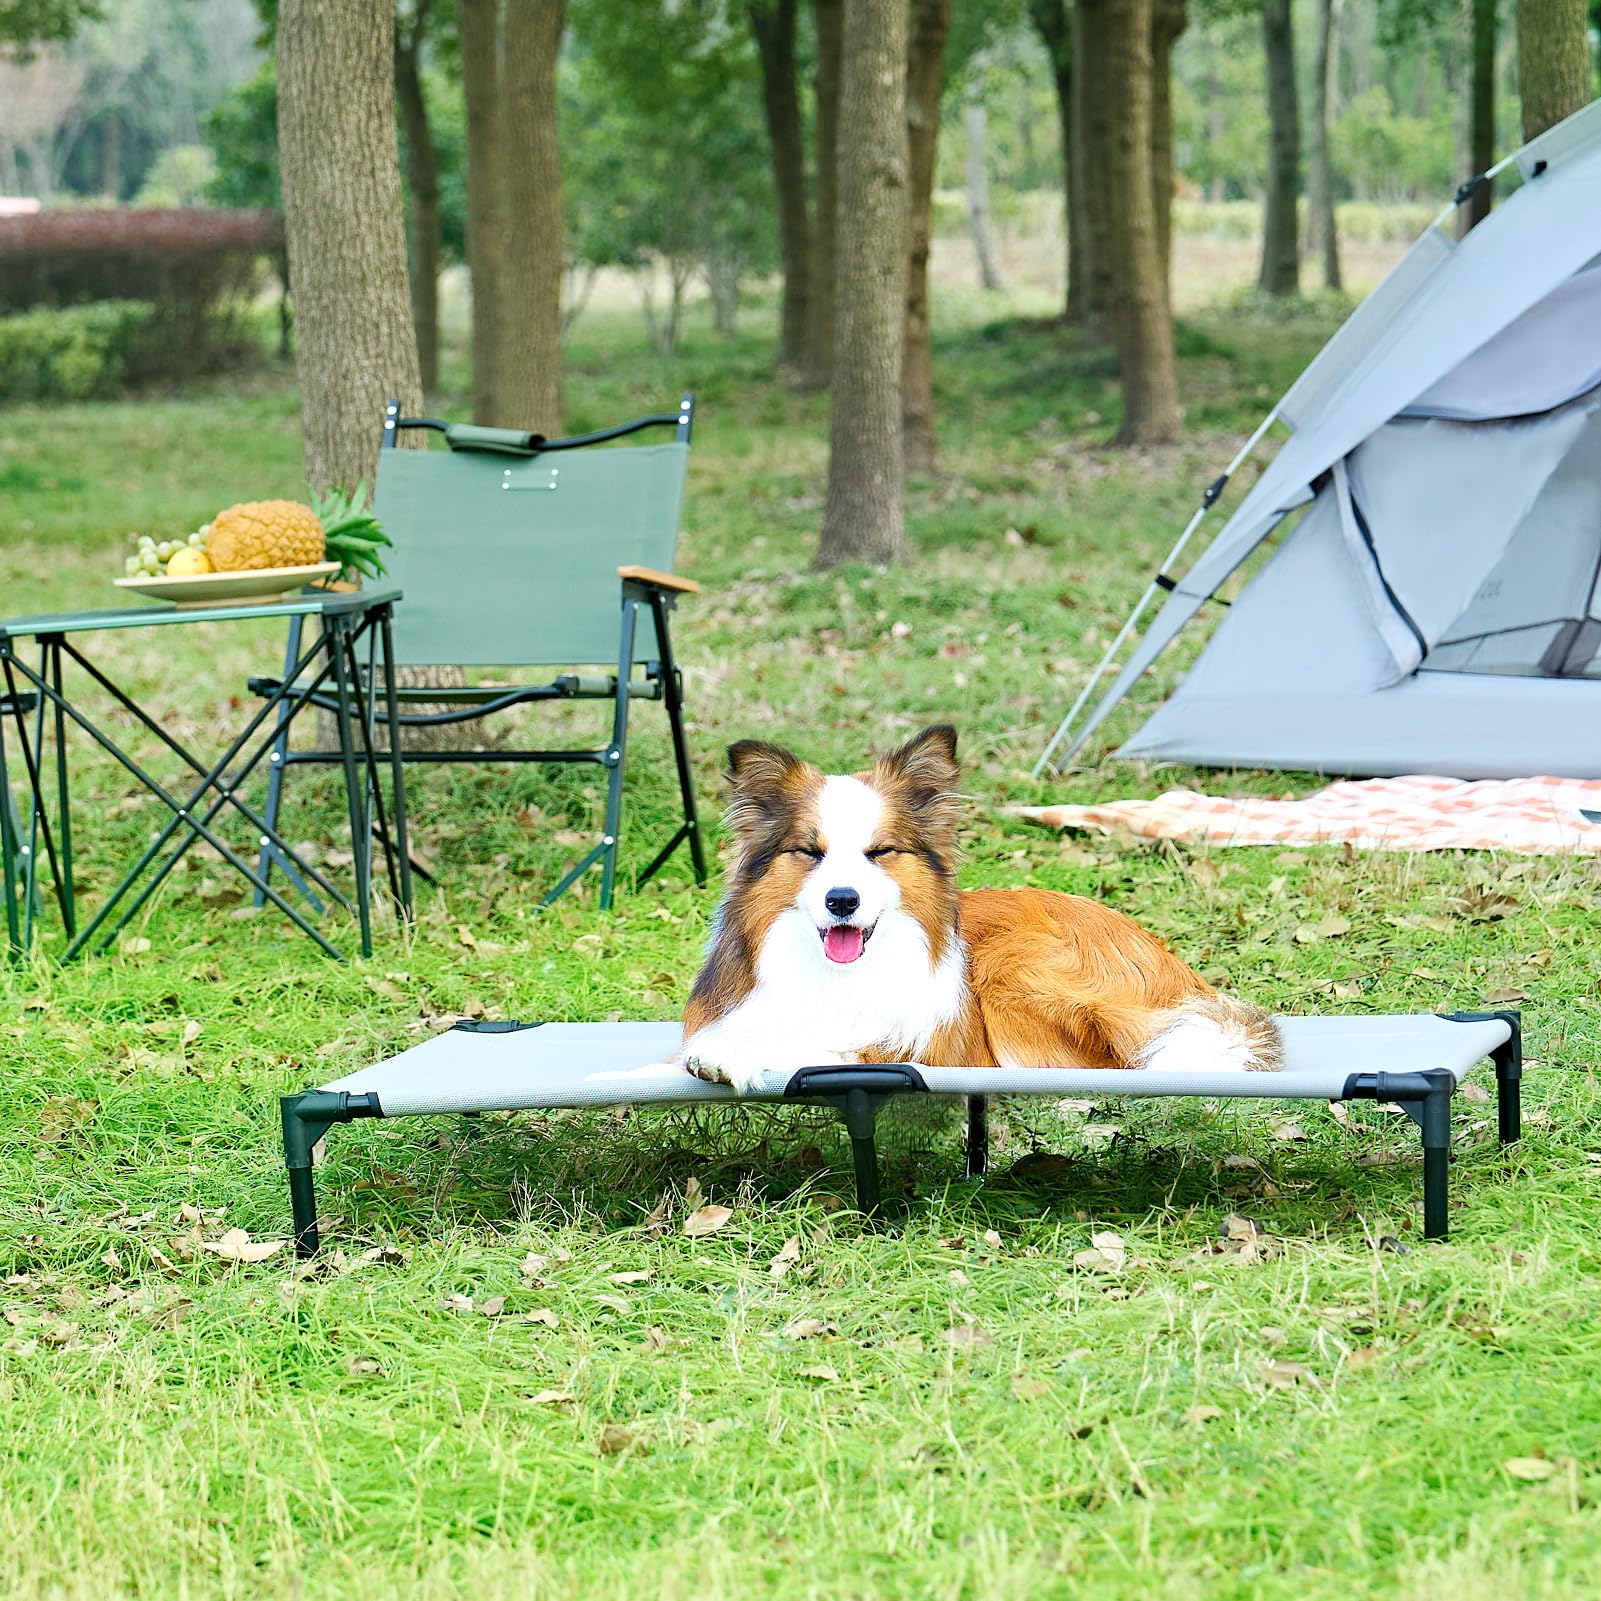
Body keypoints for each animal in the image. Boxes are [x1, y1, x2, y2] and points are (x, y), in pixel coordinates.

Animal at [675, 730, 1274, 1095]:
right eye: (809, 851)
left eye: (880, 851)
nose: (842, 900)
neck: (837, 976)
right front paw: (721, 1051)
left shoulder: (919, 1045)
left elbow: (830, 1048)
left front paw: (742, 1055)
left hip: (1018, 967)